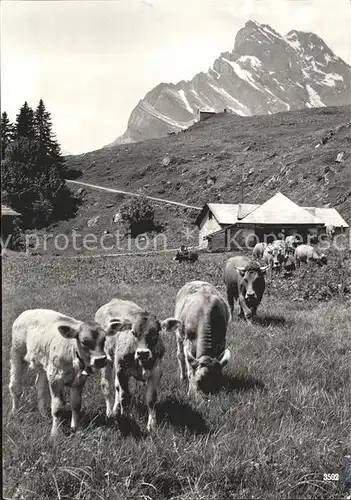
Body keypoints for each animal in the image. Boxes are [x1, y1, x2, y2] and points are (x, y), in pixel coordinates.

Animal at [8, 308, 117, 438]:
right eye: (84, 342)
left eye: (104, 340)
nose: (100, 360)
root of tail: (27, 312)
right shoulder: (55, 378)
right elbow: (58, 408)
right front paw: (55, 434)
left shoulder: (79, 381)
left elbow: (76, 404)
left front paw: (75, 427)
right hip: (17, 353)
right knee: (15, 386)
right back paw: (15, 412)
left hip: (44, 363)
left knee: (40, 386)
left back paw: (43, 414)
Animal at [95, 298, 180, 432]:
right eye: (133, 332)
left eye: (156, 333)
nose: (143, 353)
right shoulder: (122, 371)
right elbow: (125, 397)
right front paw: (125, 419)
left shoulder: (156, 372)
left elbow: (151, 398)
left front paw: (152, 424)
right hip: (106, 359)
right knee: (106, 386)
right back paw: (109, 412)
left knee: (116, 386)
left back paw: (115, 409)